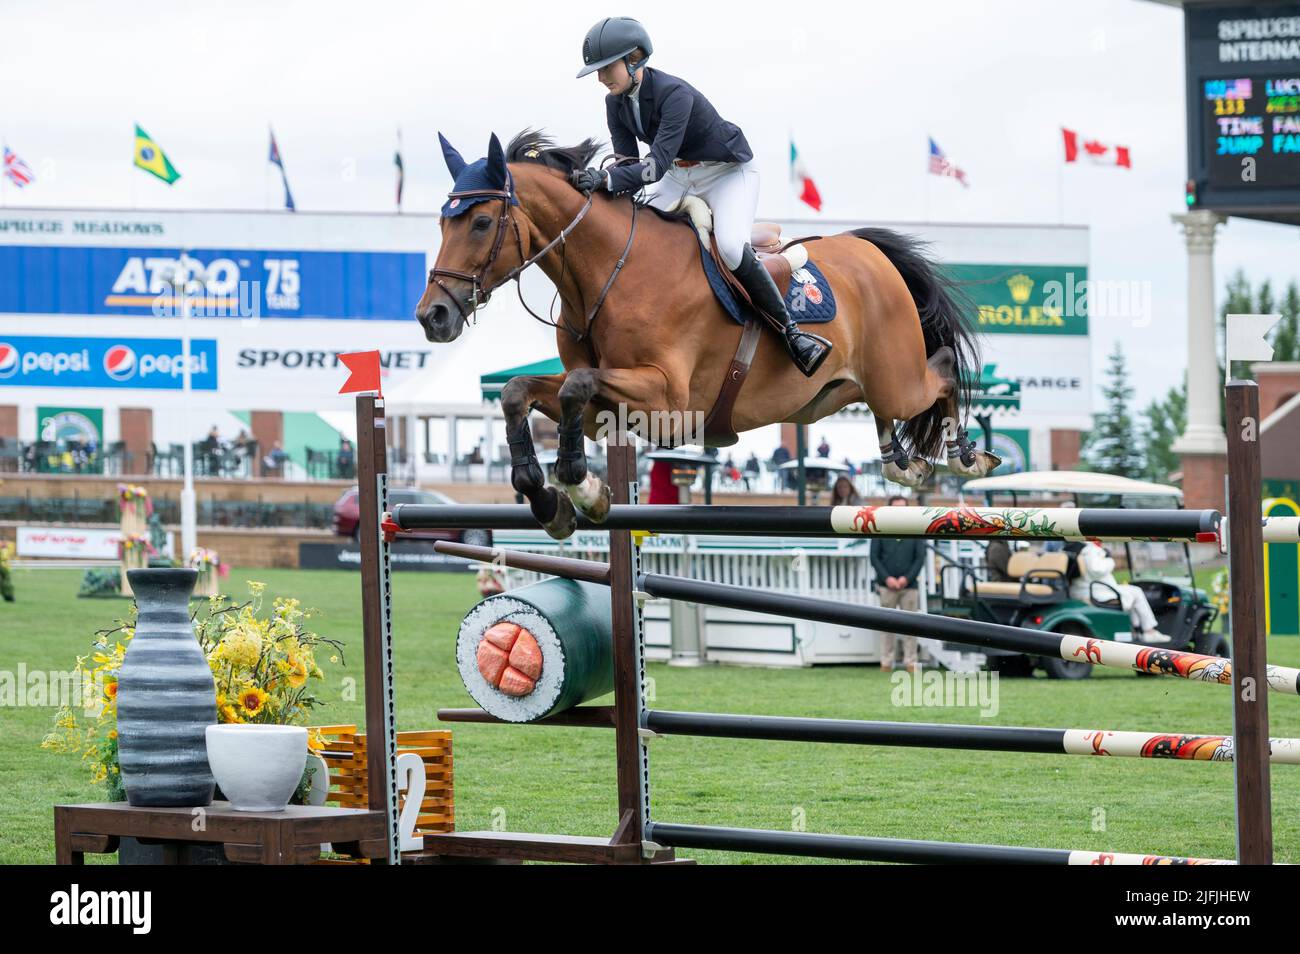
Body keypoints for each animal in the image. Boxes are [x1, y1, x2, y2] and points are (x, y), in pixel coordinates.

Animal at [416, 130, 993, 540]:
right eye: (442, 223)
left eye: (482, 222)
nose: (432, 317)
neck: (608, 271)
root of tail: (869, 251)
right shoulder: (607, 406)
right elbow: (522, 392)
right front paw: (550, 500)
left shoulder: (667, 400)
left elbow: (577, 385)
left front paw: (582, 483)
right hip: (831, 394)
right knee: (882, 403)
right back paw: (900, 461)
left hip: (897, 377)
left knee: (941, 370)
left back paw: (964, 454)